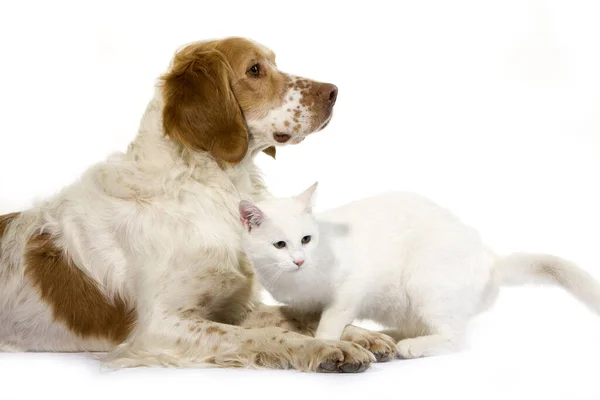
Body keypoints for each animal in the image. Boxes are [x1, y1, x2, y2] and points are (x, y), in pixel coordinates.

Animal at [1, 37, 398, 372]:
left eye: (273, 61)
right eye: (255, 69)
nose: (333, 91)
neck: (213, 186)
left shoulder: (235, 307)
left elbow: (297, 315)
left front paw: (361, 334)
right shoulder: (161, 326)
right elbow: (269, 334)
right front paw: (325, 348)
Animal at [239, 184, 600, 360]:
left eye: (306, 239)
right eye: (280, 245)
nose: (299, 260)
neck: (298, 282)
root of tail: (489, 258)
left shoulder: (352, 288)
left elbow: (330, 321)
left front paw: (328, 344)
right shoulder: (304, 305)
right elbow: (310, 318)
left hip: (424, 280)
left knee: (456, 337)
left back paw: (411, 347)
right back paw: (391, 337)